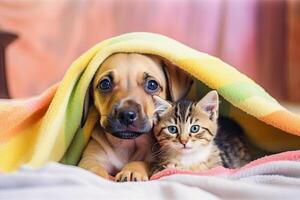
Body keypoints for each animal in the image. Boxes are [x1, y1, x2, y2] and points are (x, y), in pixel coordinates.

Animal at [79, 53, 192, 181]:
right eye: (105, 84)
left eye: (152, 85)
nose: (126, 115)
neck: (127, 144)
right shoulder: (90, 158)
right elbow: (92, 168)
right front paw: (93, 175)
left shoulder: (157, 160)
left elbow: (143, 162)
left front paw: (132, 170)